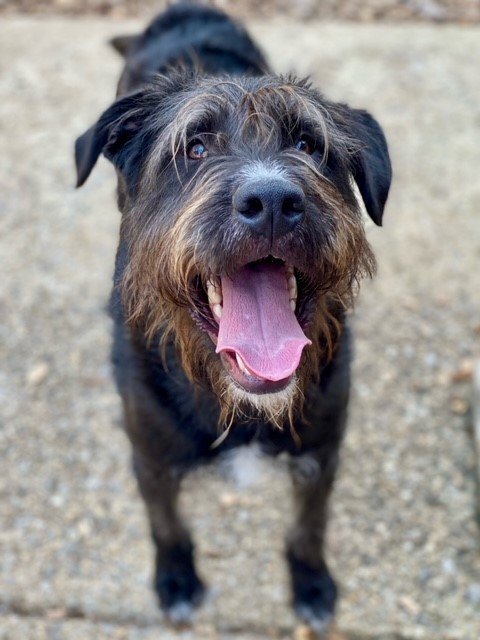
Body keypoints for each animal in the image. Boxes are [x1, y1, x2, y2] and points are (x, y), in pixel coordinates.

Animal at [74, 3, 390, 636]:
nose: (272, 201)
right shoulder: (149, 455)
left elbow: (309, 527)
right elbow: (166, 524)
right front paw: (176, 578)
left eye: (309, 144)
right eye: (195, 147)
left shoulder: (322, 454)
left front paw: (311, 582)